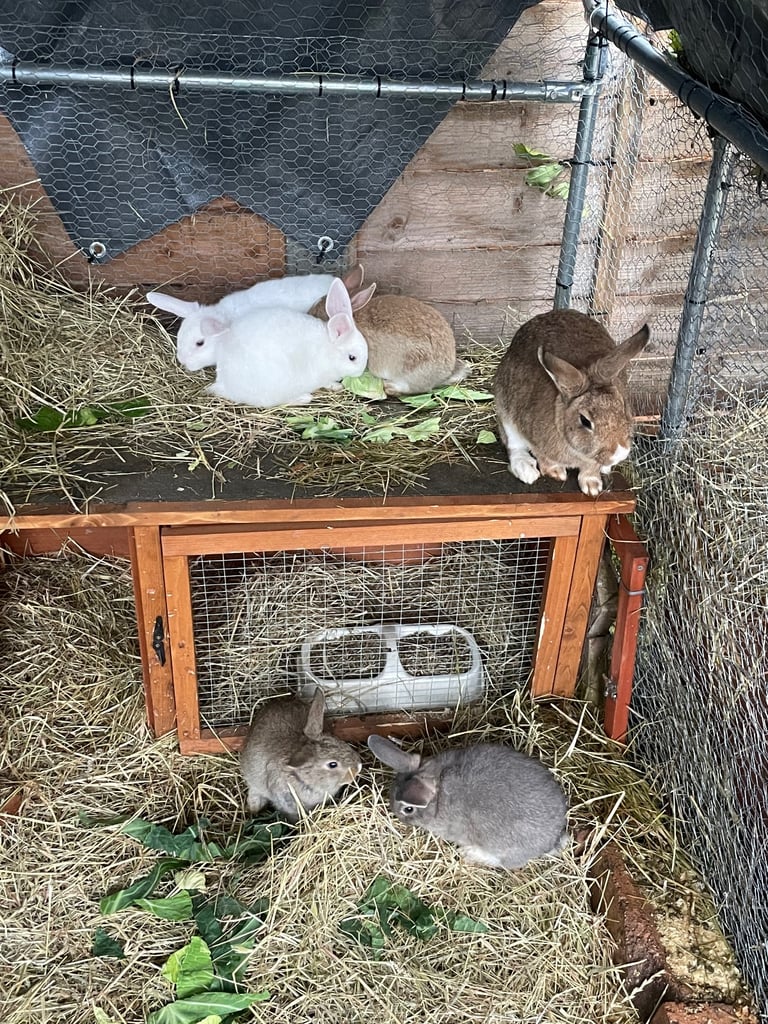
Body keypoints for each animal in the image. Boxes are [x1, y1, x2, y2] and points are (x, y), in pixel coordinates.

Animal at [173, 278, 368, 408]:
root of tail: (226, 383)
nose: (360, 372)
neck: (328, 350)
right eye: (352, 358)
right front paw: (336, 386)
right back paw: (304, 398)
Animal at [493, 310, 650, 496]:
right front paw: (556, 472)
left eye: (623, 407)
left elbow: (591, 469)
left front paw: (592, 486)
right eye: (585, 421)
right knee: (514, 447)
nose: (620, 453)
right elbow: (543, 457)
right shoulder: (531, 434)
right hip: (505, 413)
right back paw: (527, 471)